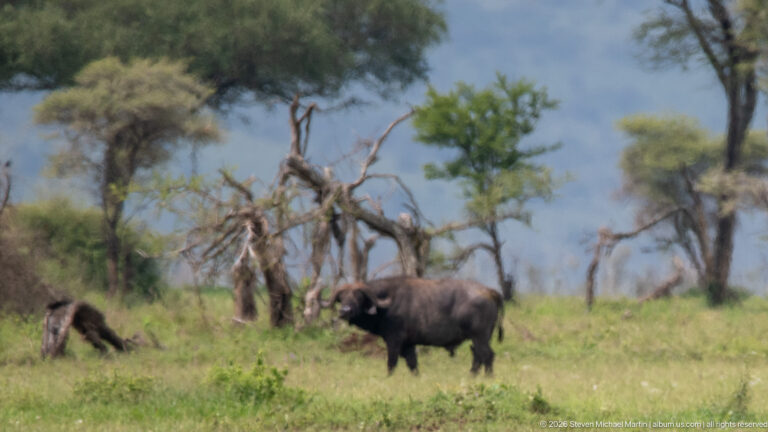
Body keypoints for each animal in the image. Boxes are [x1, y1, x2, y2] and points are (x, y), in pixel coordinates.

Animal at [324, 276, 504, 375]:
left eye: (358, 297)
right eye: (341, 298)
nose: (344, 311)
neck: (387, 305)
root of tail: (489, 291)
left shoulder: (394, 340)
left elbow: (391, 363)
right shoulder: (408, 344)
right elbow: (413, 364)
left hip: (480, 336)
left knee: (487, 355)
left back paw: (488, 377)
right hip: (479, 338)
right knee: (478, 356)